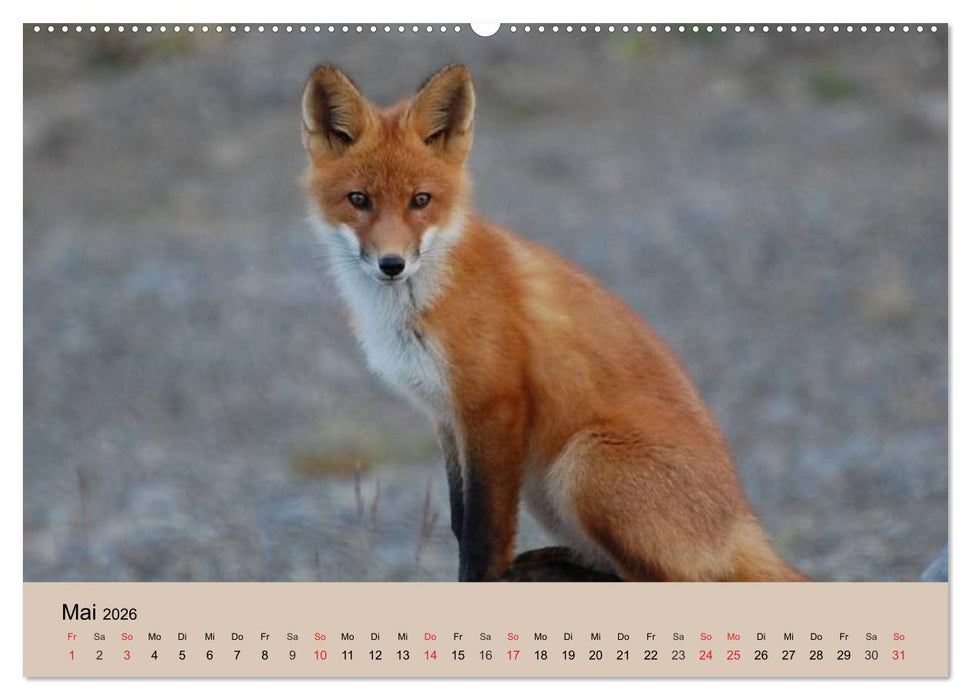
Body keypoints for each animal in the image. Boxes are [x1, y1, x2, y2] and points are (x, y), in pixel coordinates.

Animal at [300, 63, 810, 582]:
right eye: (359, 200)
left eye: (421, 200)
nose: (392, 264)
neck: (418, 305)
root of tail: (744, 522)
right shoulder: (446, 416)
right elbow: (460, 522)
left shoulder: (494, 404)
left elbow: (482, 536)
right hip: (548, 489)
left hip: (582, 463)